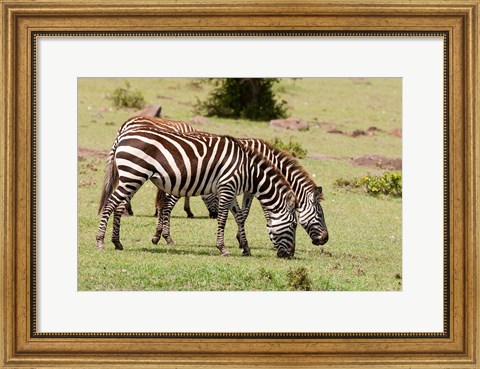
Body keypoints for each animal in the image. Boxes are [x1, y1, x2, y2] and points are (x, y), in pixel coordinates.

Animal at [96, 125, 298, 258]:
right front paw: (222, 248)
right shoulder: (227, 187)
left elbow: (240, 217)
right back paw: (100, 241)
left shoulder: (231, 189)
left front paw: (245, 247)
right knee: (110, 204)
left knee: (118, 205)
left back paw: (117, 242)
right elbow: (223, 218)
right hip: (133, 174)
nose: (290, 255)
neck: (248, 170)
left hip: (132, 177)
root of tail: (123, 136)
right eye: (294, 225)